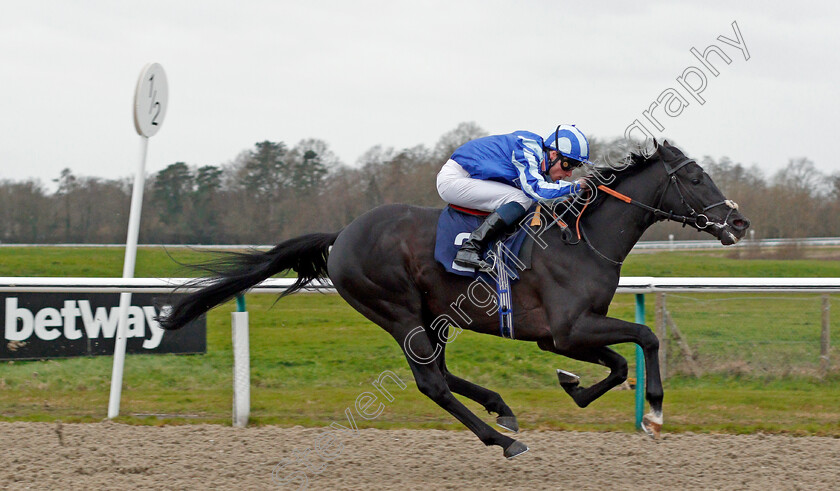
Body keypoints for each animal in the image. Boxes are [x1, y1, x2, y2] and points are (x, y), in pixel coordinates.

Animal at [158, 140, 748, 460]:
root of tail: (341, 234)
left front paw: (573, 386)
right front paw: (655, 412)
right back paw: (502, 439)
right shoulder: (567, 329)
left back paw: (501, 409)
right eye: (696, 176)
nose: (739, 222)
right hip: (396, 311)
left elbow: (620, 362)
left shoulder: (566, 335)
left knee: (440, 372)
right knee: (431, 382)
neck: (578, 239)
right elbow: (645, 338)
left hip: (430, 314)